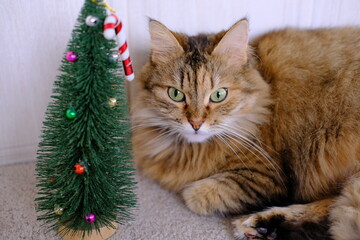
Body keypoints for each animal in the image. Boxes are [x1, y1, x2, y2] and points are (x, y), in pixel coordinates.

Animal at [131, 19, 360, 240]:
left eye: (219, 95)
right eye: (176, 94)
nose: (196, 123)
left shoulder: (265, 176)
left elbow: (193, 195)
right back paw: (263, 228)